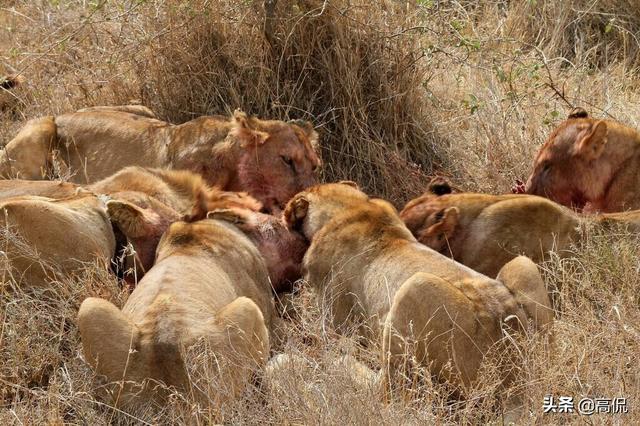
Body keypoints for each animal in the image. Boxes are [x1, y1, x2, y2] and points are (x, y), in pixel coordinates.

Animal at [282, 181, 552, 394]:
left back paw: (344, 366)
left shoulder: (334, 319)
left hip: (414, 287)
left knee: (389, 391)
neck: (352, 208)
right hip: (522, 266)